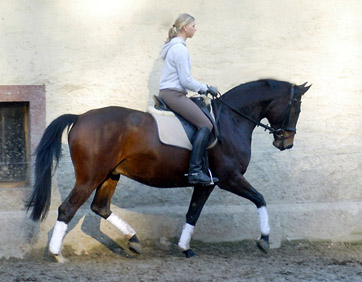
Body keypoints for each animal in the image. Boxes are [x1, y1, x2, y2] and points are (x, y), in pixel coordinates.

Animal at [25, 78, 310, 262]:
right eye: (296, 107)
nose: (286, 142)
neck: (232, 120)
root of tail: (80, 117)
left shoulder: (207, 183)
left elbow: (193, 213)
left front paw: (185, 248)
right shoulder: (229, 178)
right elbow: (260, 198)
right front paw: (264, 240)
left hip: (110, 175)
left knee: (101, 207)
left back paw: (134, 241)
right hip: (90, 176)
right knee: (67, 209)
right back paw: (57, 254)